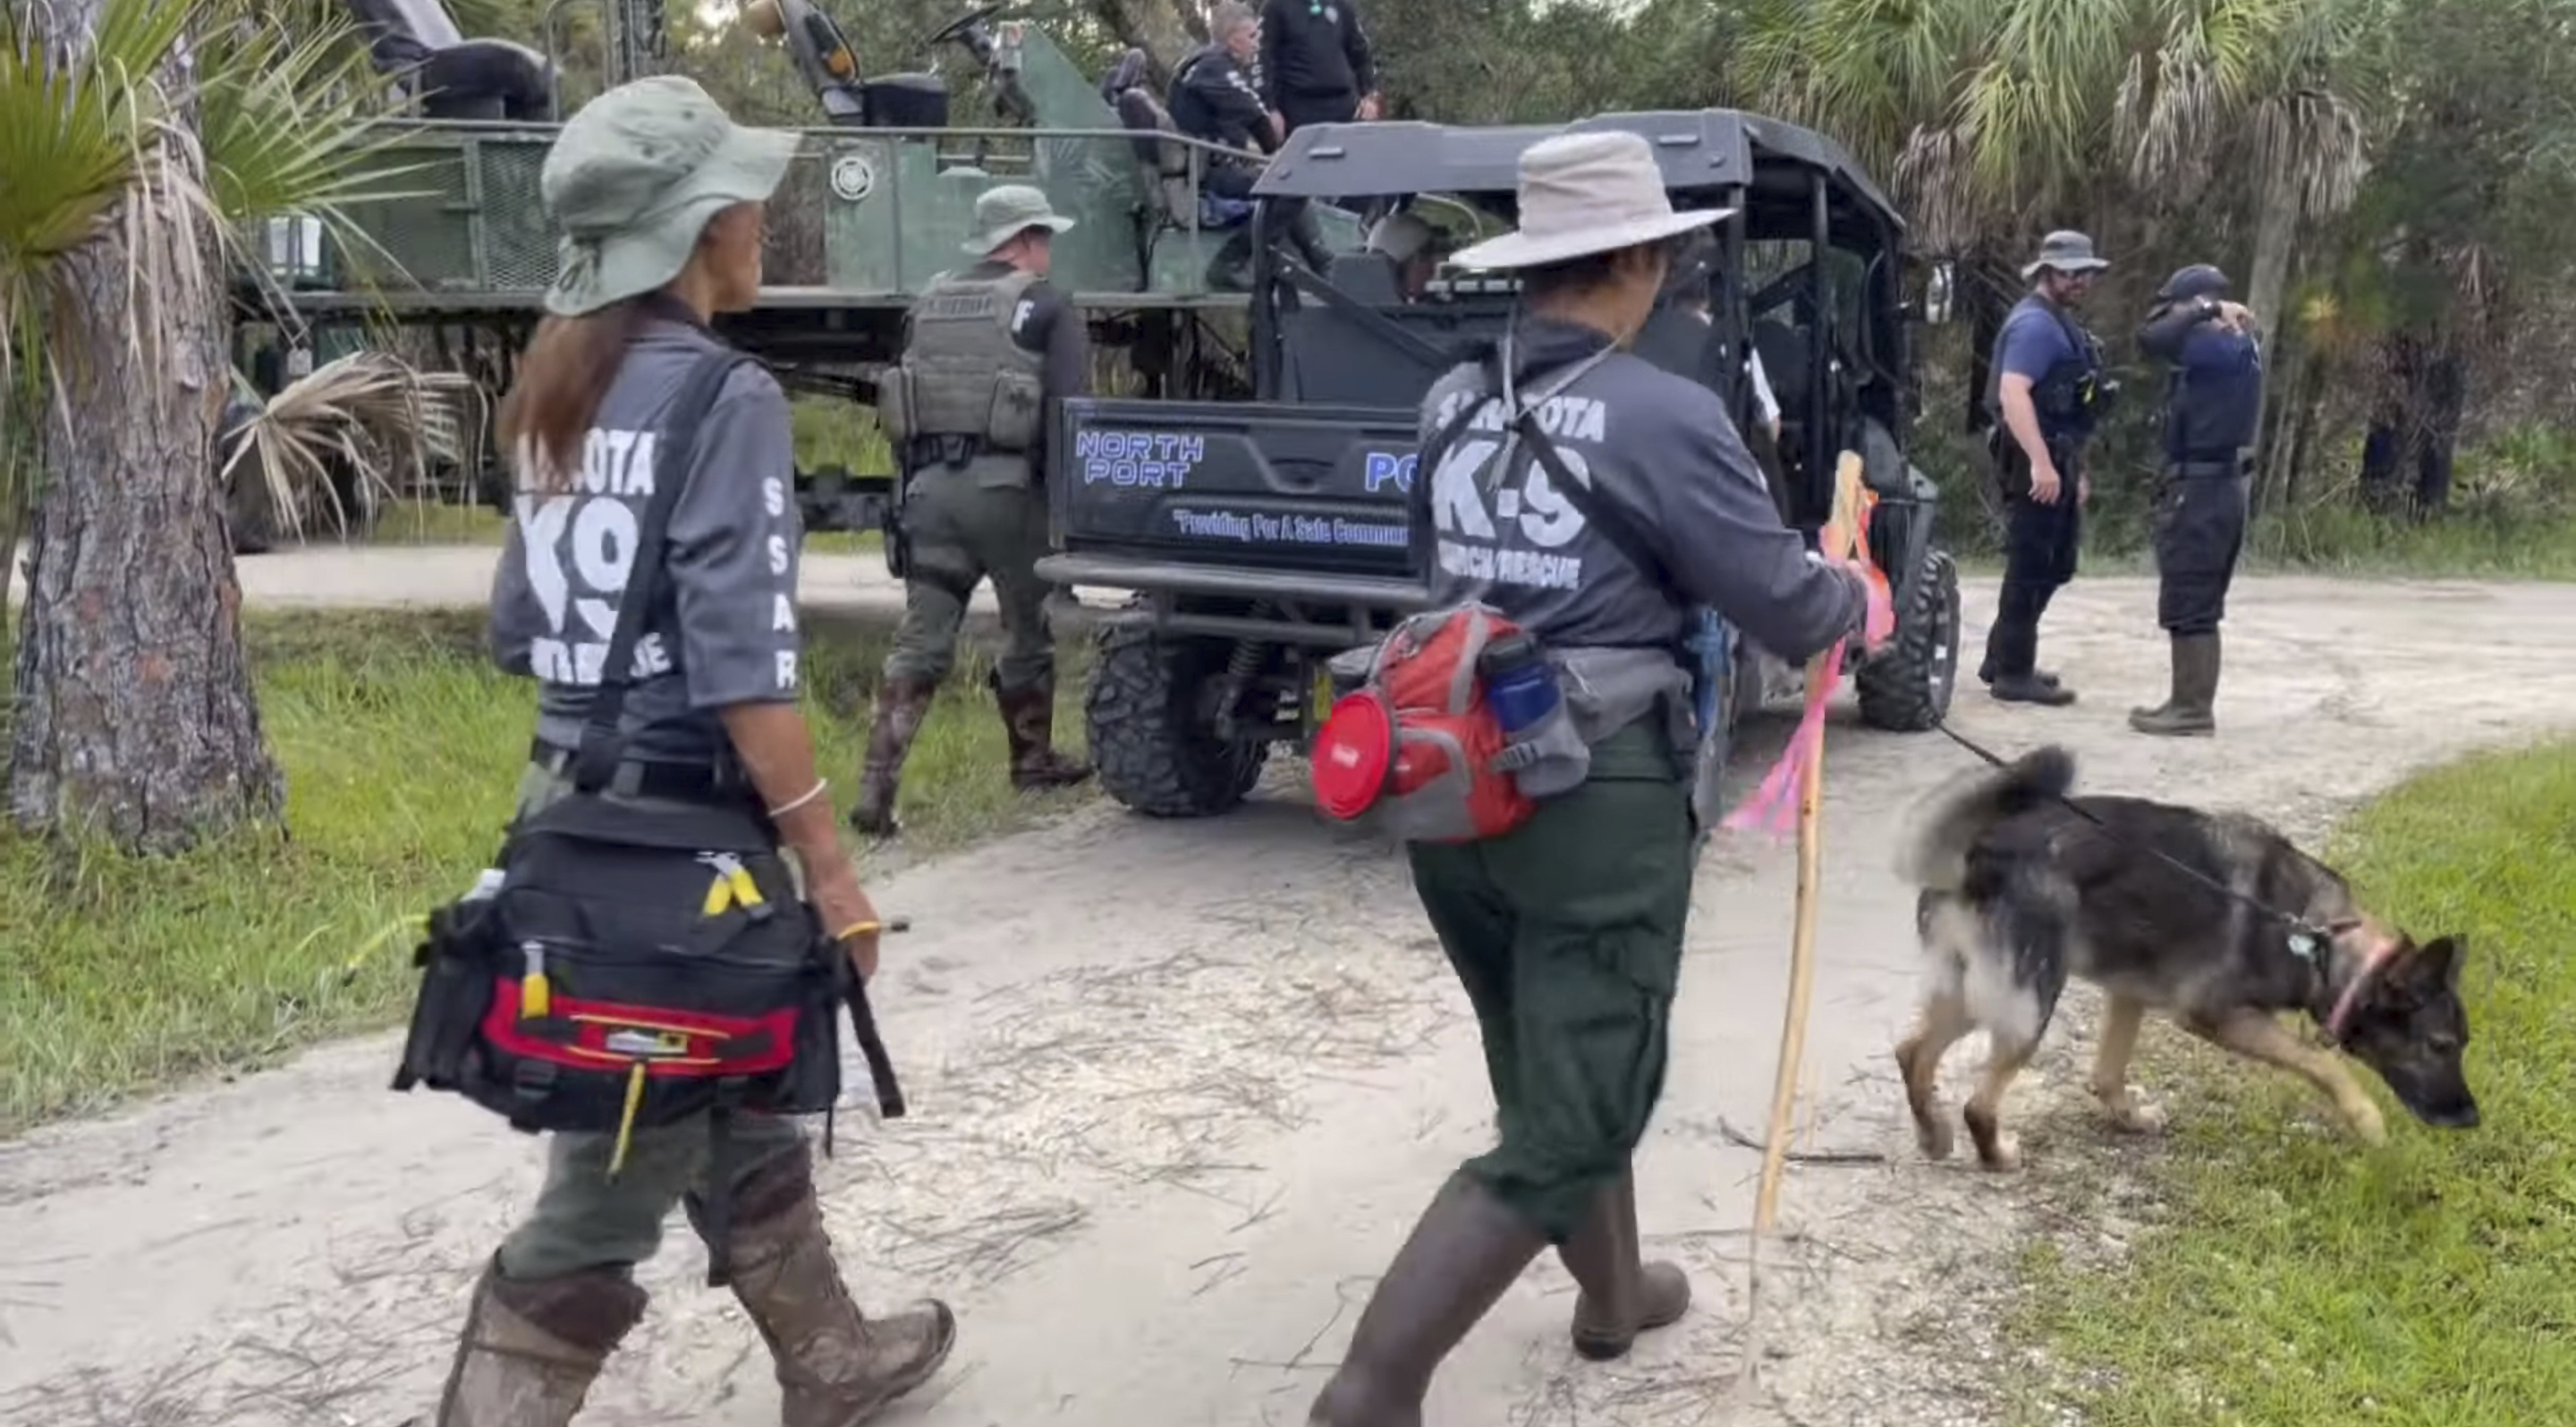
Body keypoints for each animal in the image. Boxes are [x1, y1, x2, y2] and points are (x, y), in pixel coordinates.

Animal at [1895, 742, 2472, 1164]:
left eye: (2461, 1045)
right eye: (2441, 1045)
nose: (2472, 1119)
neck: (2322, 938)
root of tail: (1982, 852)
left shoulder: (2128, 996)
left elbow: (2108, 1073)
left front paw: (2128, 1117)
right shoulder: (2219, 1017)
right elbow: (2321, 1063)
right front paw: (2365, 1118)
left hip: (1976, 990)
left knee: (1912, 1052)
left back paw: (1933, 1134)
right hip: (2029, 1001)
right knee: (1978, 1103)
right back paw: (1995, 1155)